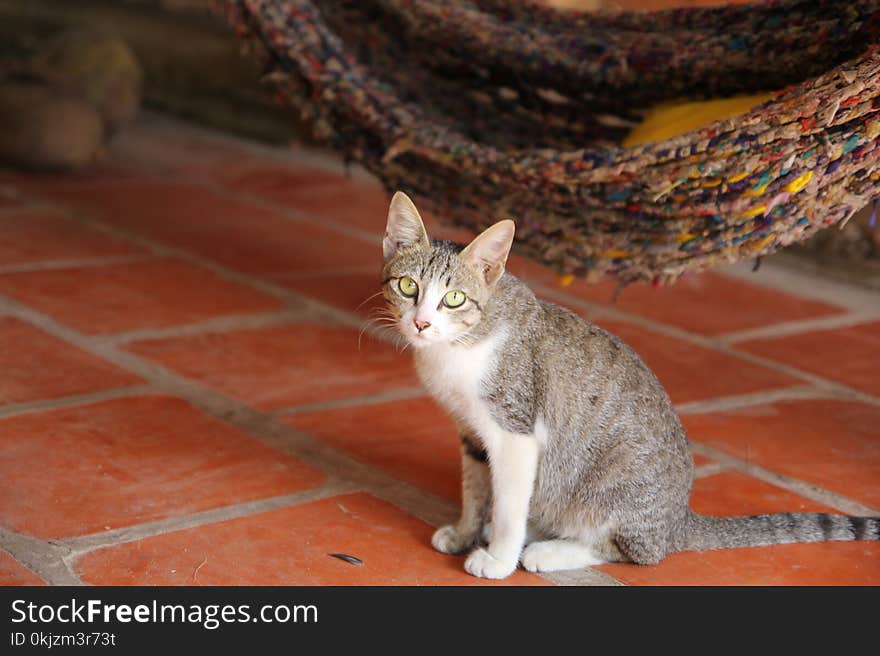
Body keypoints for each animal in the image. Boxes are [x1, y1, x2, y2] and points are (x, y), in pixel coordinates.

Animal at [384, 191, 880, 580]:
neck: (462, 343)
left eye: (453, 299)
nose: (422, 323)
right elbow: (475, 489)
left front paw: (498, 558)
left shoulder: (515, 432)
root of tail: (678, 521)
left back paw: (548, 551)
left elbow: (508, 504)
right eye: (407, 286)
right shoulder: (471, 432)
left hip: (611, 487)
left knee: (634, 552)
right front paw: (465, 531)